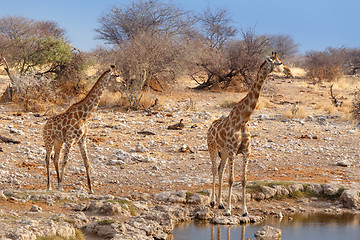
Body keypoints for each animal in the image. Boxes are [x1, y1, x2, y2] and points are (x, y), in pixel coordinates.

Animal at [41, 65, 124, 193]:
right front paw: (60, 187)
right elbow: (65, 161)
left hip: (58, 141)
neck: (84, 116)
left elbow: (87, 162)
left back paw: (55, 183)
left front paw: (91, 189)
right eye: (117, 75)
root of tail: (45, 125)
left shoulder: (82, 140)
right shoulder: (70, 140)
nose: (124, 83)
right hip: (48, 140)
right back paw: (49, 186)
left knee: (55, 159)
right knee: (47, 159)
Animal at [207, 52, 292, 216]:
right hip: (213, 147)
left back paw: (220, 203)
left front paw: (244, 211)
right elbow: (231, 179)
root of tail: (210, 127)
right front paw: (229, 210)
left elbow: (244, 180)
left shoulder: (246, 151)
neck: (243, 120)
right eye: (279, 63)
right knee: (214, 170)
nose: (289, 71)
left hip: (224, 152)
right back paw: (213, 202)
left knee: (220, 170)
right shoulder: (233, 151)